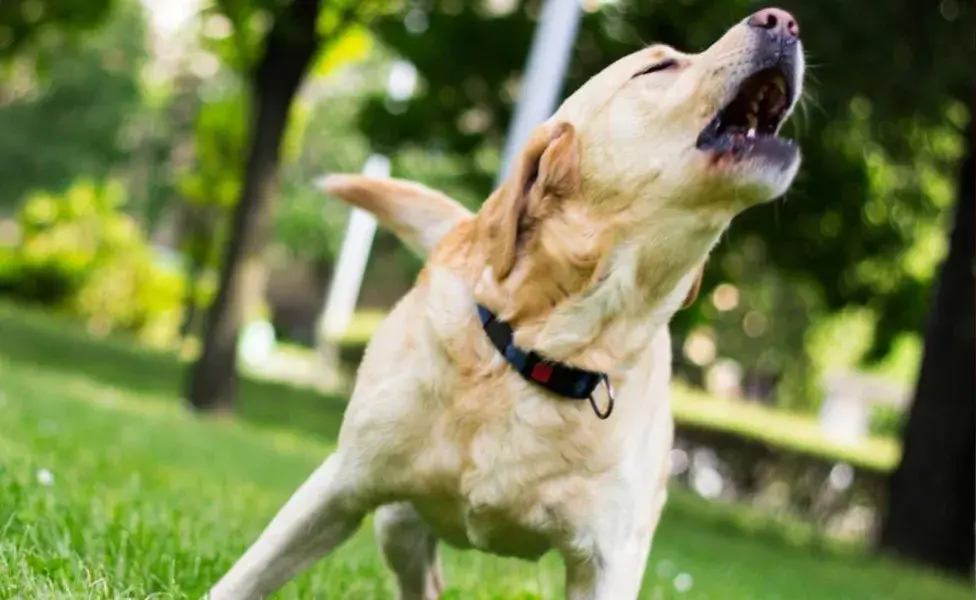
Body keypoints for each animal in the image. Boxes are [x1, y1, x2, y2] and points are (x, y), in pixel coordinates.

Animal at [210, 9, 804, 600]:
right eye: (657, 67)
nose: (783, 20)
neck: (543, 353)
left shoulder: (608, 563)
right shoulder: (341, 484)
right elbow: (244, 578)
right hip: (397, 523)